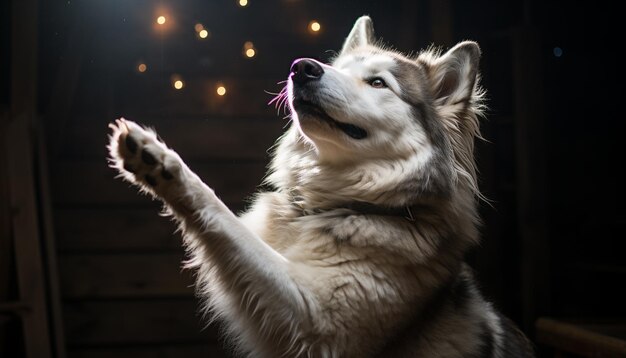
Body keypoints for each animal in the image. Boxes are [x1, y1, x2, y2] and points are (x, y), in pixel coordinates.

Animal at [106, 15, 532, 356]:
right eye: (335, 67)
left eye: (378, 82)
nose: (302, 68)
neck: (333, 204)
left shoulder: (312, 321)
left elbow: (222, 220)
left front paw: (161, 162)